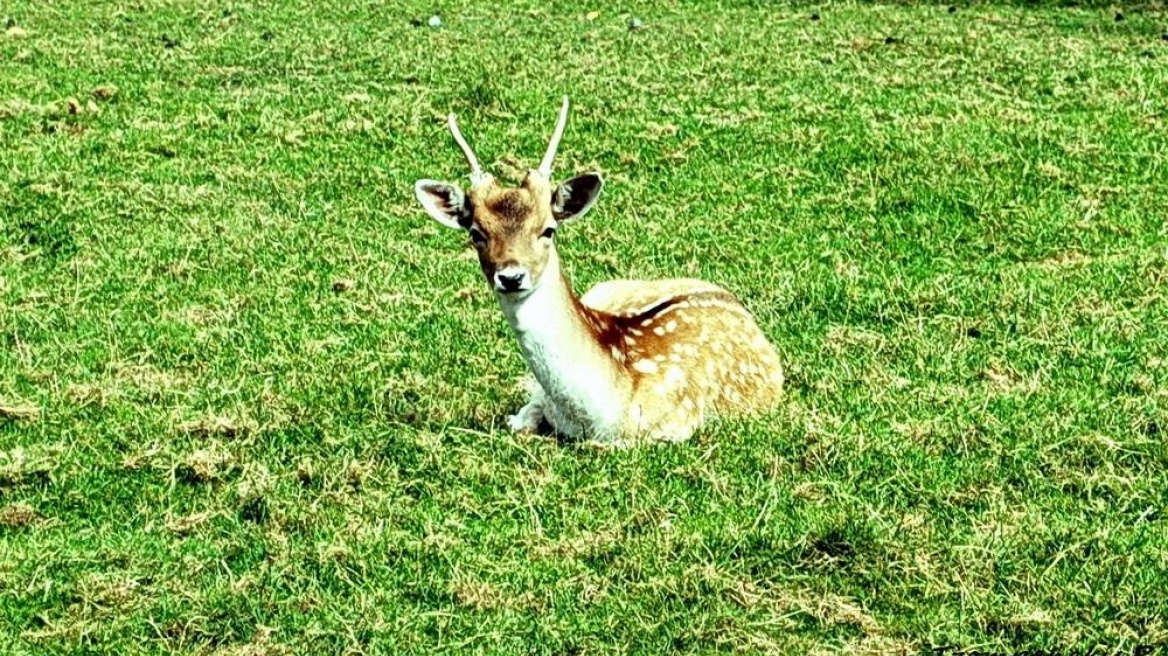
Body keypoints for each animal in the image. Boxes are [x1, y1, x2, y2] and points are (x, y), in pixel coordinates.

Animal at [411, 95, 784, 443]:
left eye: (548, 229)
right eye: (476, 233)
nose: (511, 276)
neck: (600, 413)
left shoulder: (676, 423)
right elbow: (522, 420)